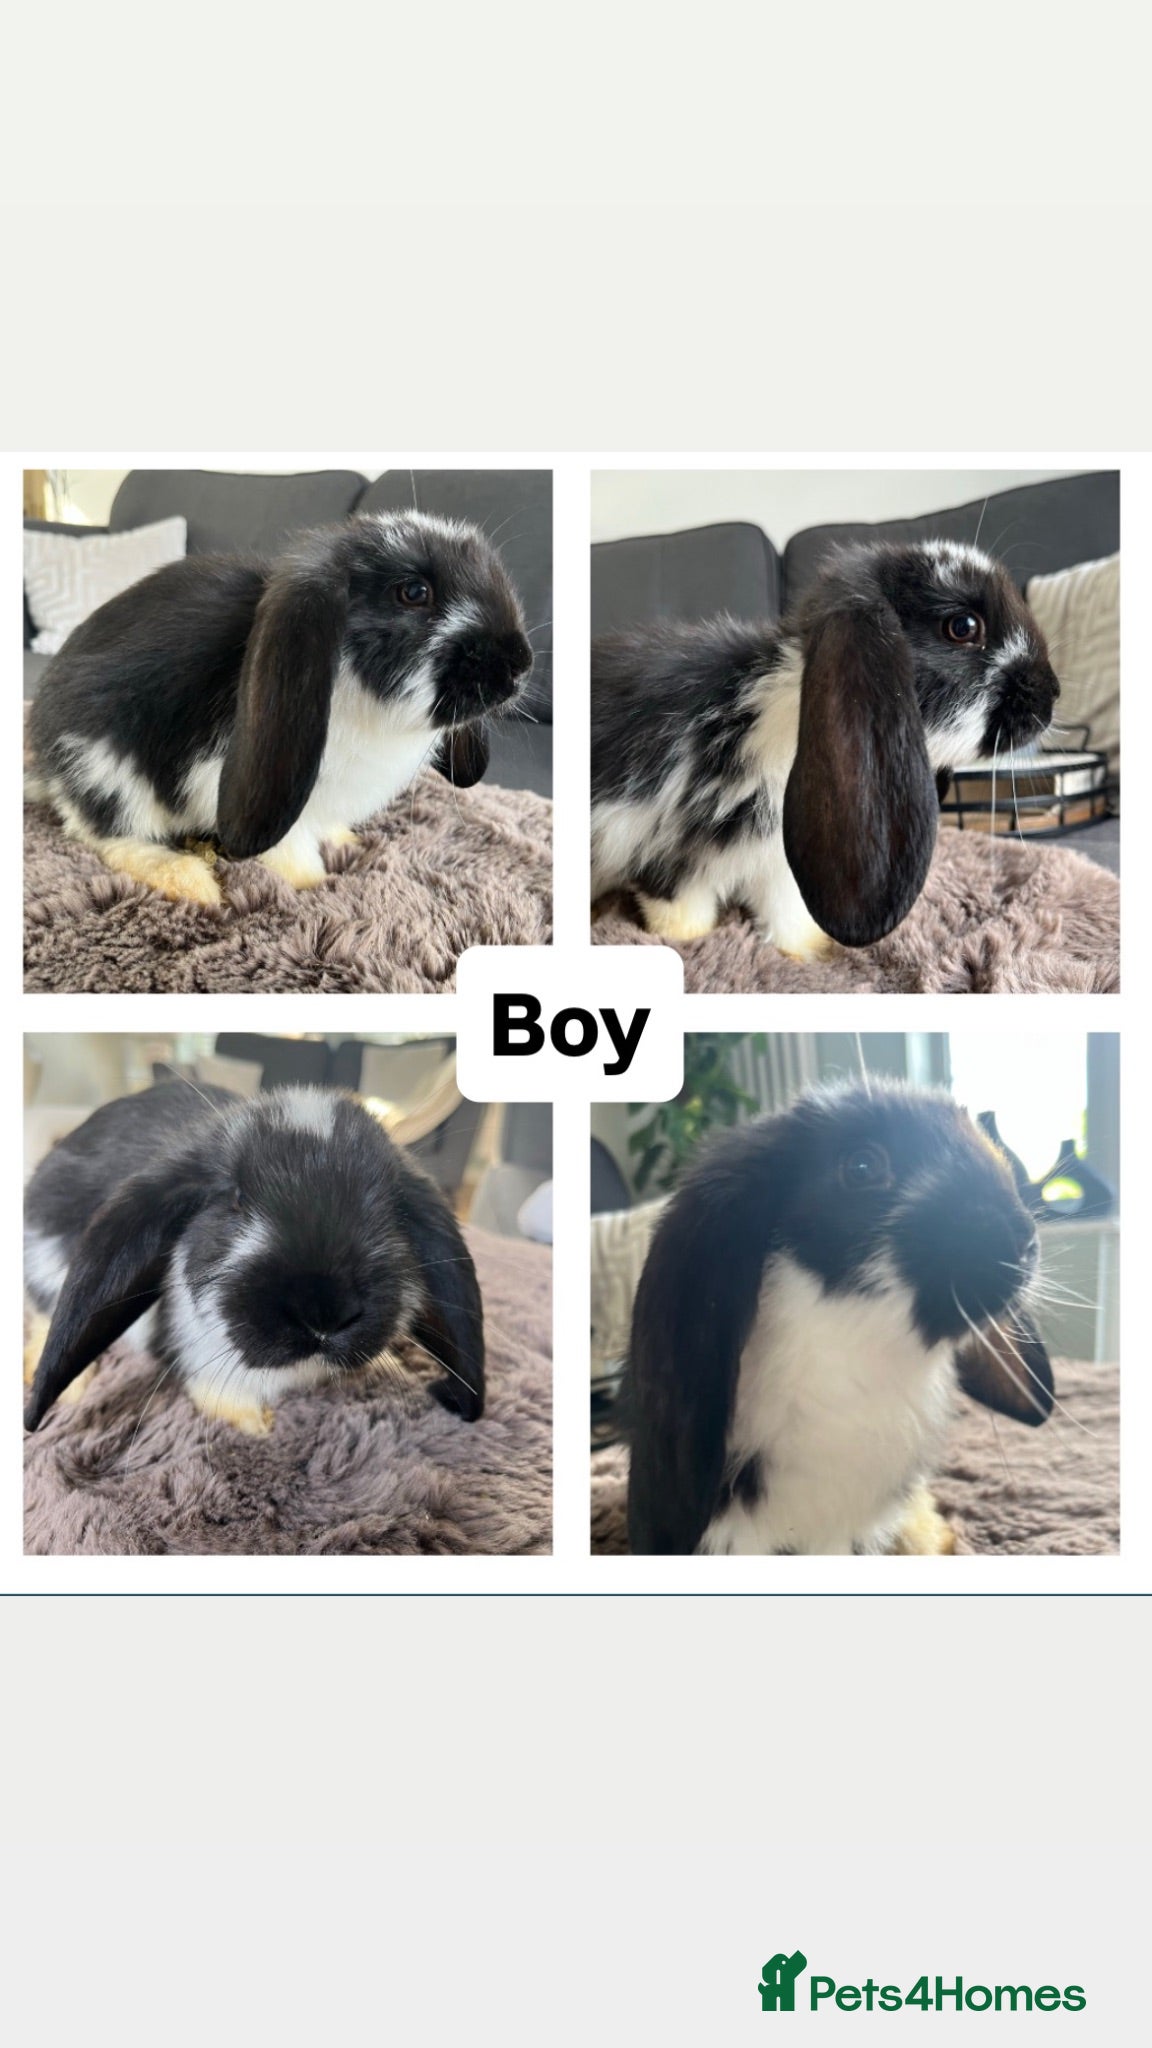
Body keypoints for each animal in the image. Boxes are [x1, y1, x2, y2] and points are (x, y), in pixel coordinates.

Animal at [27, 511, 533, 905]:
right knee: (101, 833)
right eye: (413, 592)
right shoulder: (235, 782)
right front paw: (319, 885)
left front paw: (345, 840)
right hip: (105, 768)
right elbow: (292, 852)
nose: (520, 665)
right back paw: (188, 880)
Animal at [591, 540, 1060, 957]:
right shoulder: (665, 850)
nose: (1052, 694)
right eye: (963, 627)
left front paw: (812, 952)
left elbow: (785, 914)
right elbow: (681, 912)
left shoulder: (781, 864)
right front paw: (688, 942)